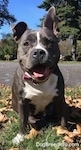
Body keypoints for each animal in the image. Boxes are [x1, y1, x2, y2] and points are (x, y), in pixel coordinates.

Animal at [11, 6, 68, 144]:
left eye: (50, 42)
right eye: (26, 44)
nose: (38, 52)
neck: (39, 82)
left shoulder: (60, 99)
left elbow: (63, 117)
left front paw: (64, 132)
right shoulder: (22, 102)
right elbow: (23, 121)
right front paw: (20, 137)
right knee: (31, 119)